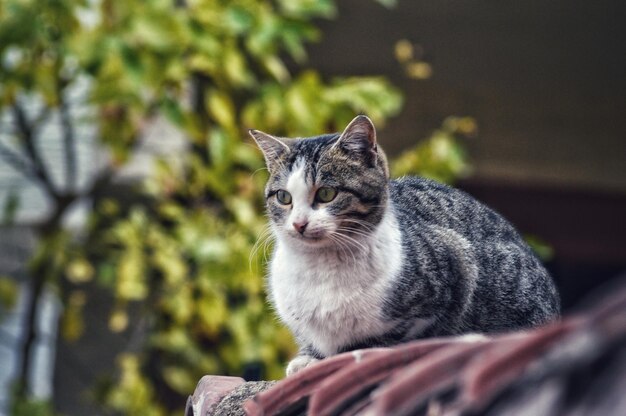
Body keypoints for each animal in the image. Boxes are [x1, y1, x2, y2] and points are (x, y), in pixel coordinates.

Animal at [249, 115, 560, 376]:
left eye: (326, 193)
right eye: (284, 197)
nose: (299, 224)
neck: (320, 268)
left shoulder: (454, 270)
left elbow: (392, 338)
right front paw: (309, 357)